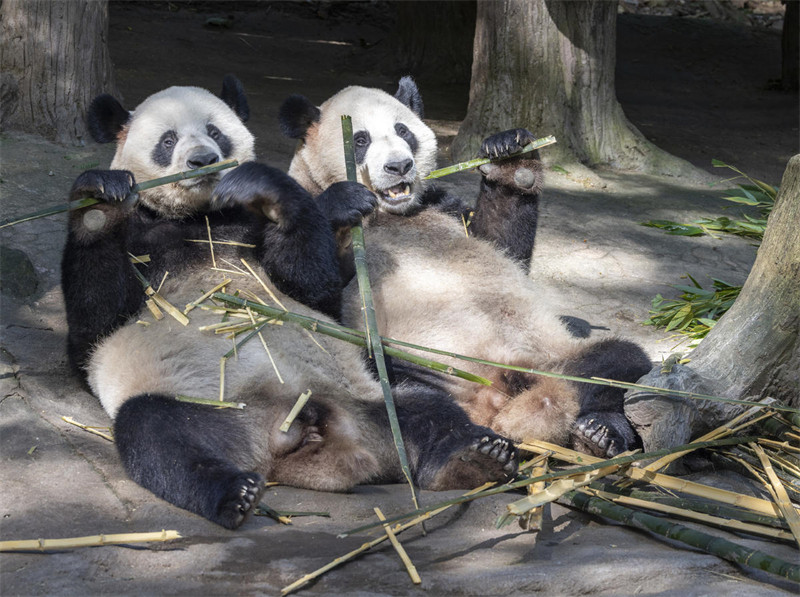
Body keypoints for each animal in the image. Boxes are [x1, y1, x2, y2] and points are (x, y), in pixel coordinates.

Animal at [59, 77, 520, 528]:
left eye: (215, 132)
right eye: (168, 140)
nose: (204, 159)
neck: (199, 218)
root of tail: (305, 429)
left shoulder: (251, 229)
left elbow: (310, 287)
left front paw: (273, 188)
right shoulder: (142, 244)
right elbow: (95, 326)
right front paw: (101, 194)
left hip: (369, 398)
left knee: (426, 409)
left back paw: (474, 458)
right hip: (208, 405)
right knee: (158, 436)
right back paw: (233, 493)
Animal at [278, 78, 652, 456]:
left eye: (403, 131)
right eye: (359, 139)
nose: (399, 166)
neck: (387, 214)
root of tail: (499, 399)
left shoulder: (441, 204)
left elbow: (499, 244)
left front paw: (511, 158)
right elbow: (307, 297)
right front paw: (343, 200)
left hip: (554, 355)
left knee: (618, 363)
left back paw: (598, 432)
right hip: (425, 366)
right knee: (405, 400)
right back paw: (480, 450)